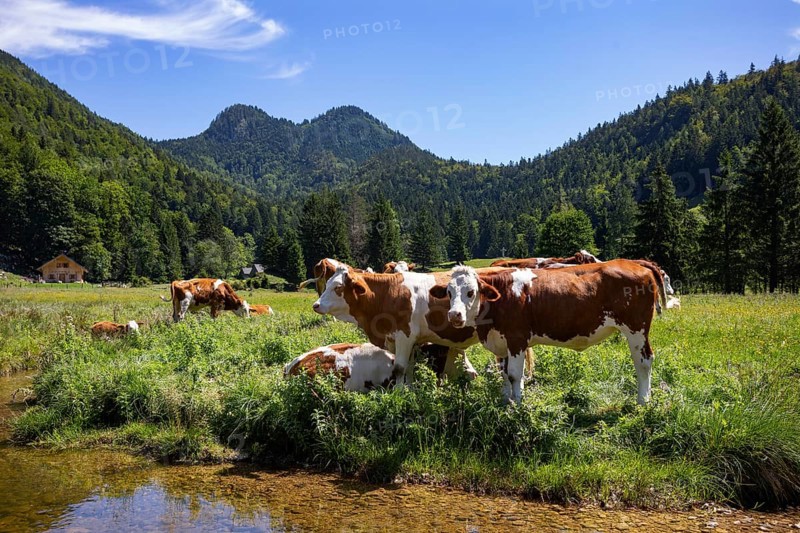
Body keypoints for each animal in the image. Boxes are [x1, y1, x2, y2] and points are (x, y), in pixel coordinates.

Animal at [430, 260, 668, 405]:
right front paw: (506, 401)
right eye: (449, 292)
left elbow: (515, 375)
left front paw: (518, 405)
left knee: (643, 361)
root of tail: (633, 262)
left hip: (636, 329)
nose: (454, 315)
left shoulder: (517, 339)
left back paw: (643, 400)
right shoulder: (502, 342)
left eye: (471, 292)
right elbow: (505, 374)